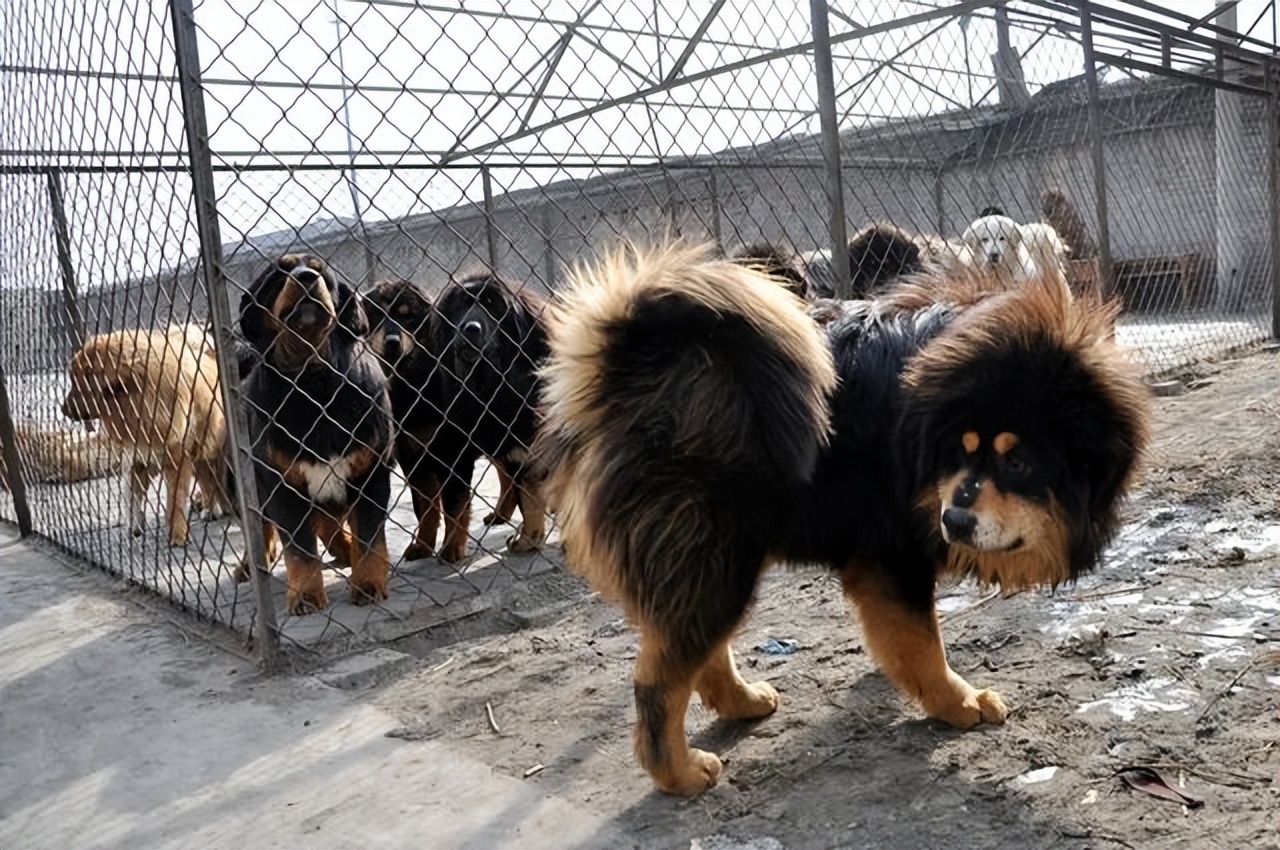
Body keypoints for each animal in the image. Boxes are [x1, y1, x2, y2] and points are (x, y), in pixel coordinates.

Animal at [238, 249, 391, 614]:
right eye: (280, 275)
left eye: (322, 272)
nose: (307, 277)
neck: (313, 383)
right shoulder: (284, 484)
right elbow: (299, 550)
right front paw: (306, 596)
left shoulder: (370, 474)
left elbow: (370, 539)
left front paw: (368, 584)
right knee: (263, 527)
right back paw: (250, 566)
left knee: (329, 522)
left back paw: (345, 551)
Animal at [430, 273, 550, 563]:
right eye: (461, 305)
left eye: (492, 305)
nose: (470, 328)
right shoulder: (451, 446)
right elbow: (455, 503)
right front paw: (451, 548)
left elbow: (529, 489)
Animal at [532, 244, 1152, 798]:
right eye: (958, 450)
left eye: (1017, 461)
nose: (954, 519)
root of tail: (630, 367)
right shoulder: (893, 555)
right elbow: (925, 645)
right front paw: (958, 703)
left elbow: (903, 640)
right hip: (713, 556)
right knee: (658, 681)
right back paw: (679, 775)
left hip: (719, 561)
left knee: (698, 651)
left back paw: (742, 703)